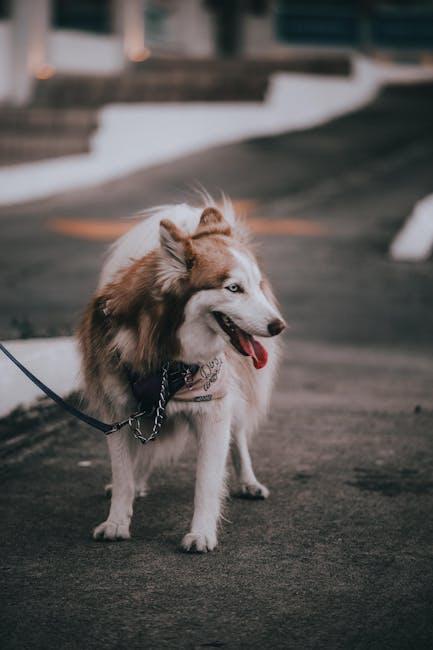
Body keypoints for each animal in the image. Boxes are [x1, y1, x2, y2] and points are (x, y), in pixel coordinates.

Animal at [78, 195, 286, 548]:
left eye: (256, 286)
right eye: (233, 288)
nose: (278, 326)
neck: (167, 354)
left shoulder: (214, 408)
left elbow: (207, 481)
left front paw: (201, 533)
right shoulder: (117, 412)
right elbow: (122, 475)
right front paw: (116, 521)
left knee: (239, 435)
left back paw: (248, 481)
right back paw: (140, 482)